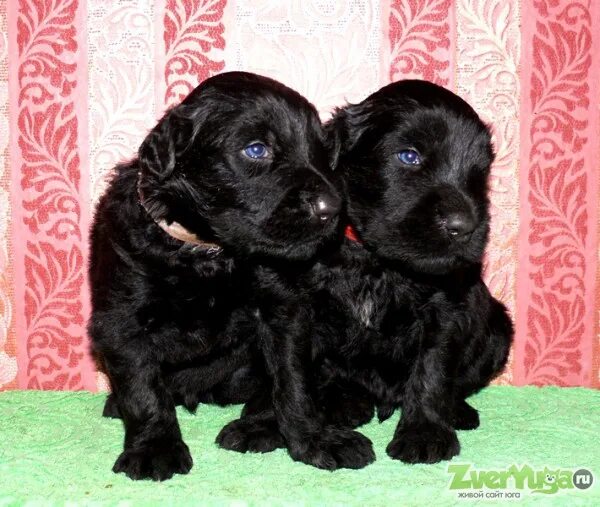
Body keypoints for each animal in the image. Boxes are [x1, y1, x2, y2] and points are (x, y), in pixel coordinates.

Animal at [89, 70, 376, 480]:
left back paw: (258, 428)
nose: (332, 208)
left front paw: (316, 439)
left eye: (322, 153)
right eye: (256, 150)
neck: (210, 254)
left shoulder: (282, 311)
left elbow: (293, 382)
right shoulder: (122, 322)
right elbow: (144, 391)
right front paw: (155, 448)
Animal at [223, 80, 512, 468]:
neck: (372, 259)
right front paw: (263, 424)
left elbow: (432, 369)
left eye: (480, 171)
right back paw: (345, 404)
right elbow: (288, 373)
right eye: (409, 156)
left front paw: (424, 433)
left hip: (497, 326)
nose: (464, 227)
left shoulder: (446, 306)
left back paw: (456, 411)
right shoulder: (289, 307)